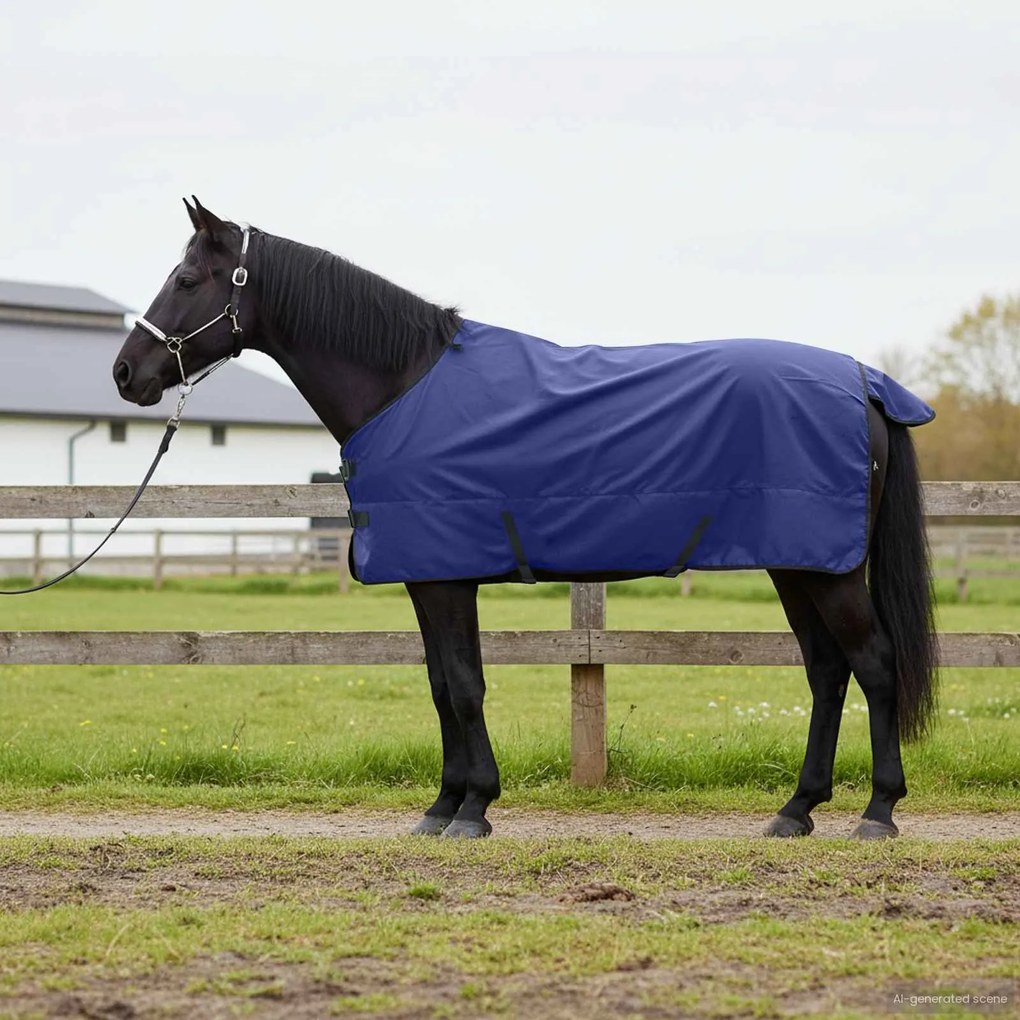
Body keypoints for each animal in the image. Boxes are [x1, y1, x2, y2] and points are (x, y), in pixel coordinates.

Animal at [112, 198, 938, 840]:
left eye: (186, 279)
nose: (126, 373)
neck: (402, 384)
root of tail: (864, 382)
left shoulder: (445, 579)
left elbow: (463, 686)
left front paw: (472, 808)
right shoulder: (432, 578)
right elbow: (443, 684)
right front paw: (444, 805)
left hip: (827, 571)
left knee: (874, 664)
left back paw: (878, 812)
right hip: (798, 565)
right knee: (827, 671)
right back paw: (796, 810)